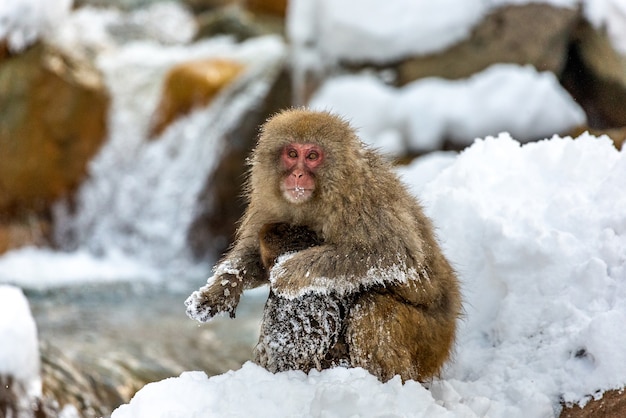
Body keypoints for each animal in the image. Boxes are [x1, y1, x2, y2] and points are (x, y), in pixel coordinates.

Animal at [183, 108, 460, 382]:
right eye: (292, 154)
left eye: (313, 156)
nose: (297, 174)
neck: (316, 200)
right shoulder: (266, 201)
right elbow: (254, 256)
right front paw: (218, 292)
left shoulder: (363, 200)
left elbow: (395, 254)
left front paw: (291, 272)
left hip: (429, 339)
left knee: (372, 307)